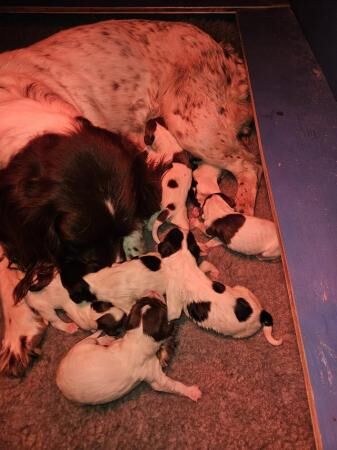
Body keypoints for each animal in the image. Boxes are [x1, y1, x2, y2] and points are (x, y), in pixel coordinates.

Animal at [56, 296, 201, 404]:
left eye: (141, 301)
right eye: (162, 306)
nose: (150, 294)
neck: (138, 337)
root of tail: (58, 380)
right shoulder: (157, 379)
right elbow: (173, 385)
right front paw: (192, 392)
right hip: (84, 346)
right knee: (93, 339)